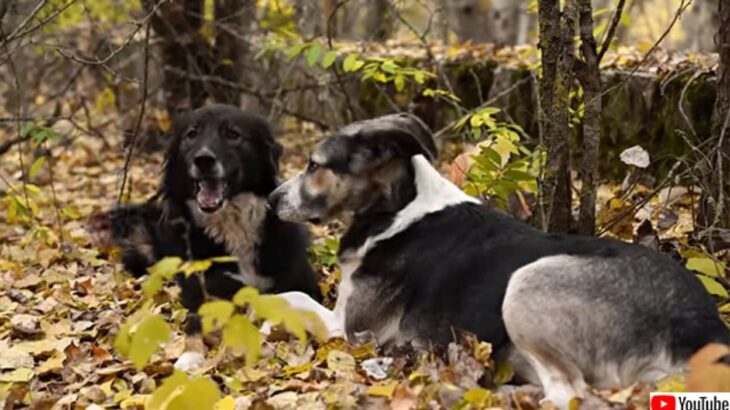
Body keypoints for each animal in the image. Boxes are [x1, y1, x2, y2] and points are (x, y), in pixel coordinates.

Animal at [99, 104, 318, 370]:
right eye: (191, 134)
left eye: (233, 134)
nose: (203, 160)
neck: (232, 226)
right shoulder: (202, 291)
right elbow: (195, 324)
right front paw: (190, 357)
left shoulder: (303, 283)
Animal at [268, 113, 728, 406]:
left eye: (313, 165)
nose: (272, 200)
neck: (398, 209)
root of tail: (695, 321)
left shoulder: (352, 331)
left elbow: (291, 298)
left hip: (527, 281)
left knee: (569, 393)